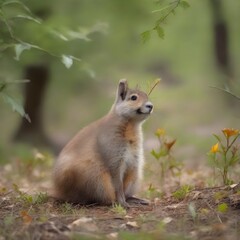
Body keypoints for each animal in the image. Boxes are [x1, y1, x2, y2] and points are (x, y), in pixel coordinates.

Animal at [53, 79, 154, 207]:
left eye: (146, 95)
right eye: (133, 98)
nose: (150, 106)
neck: (131, 125)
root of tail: (59, 191)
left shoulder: (134, 160)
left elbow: (123, 186)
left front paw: (127, 201)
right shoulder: (114, 157)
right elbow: (118, 184)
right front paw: (123, 203)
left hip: (135, 176)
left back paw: (137, 200)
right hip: (95, 180)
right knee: (93, 198)